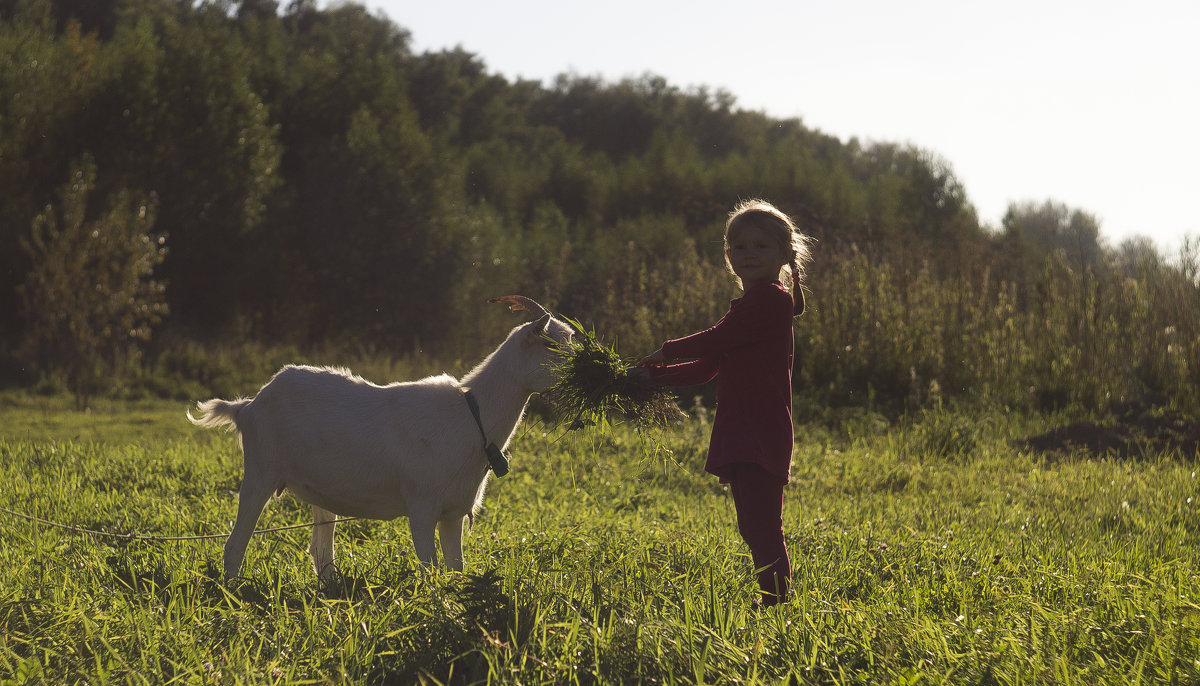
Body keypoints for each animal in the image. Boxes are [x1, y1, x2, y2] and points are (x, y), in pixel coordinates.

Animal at [189, 296, 573, 585]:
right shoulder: (422, 506)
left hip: (317, 491)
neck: (471, 415)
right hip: (260, 472)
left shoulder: (453, 513)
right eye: (553, 345)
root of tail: (248, 406)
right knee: (235, 544)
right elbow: (431, 569)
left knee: (321, 549)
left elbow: (455, 569)